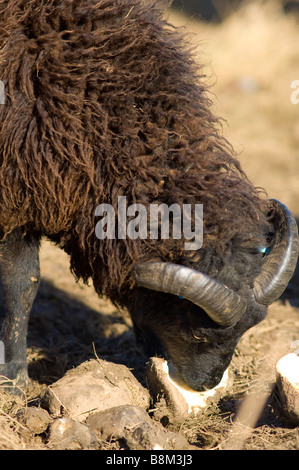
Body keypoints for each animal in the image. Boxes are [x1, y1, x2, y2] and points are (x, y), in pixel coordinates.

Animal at [0, 0, 298, 392]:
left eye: (248, 329)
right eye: (198, 333)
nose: (205, 385)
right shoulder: (14, 202)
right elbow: (21, 285)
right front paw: (14, 378)